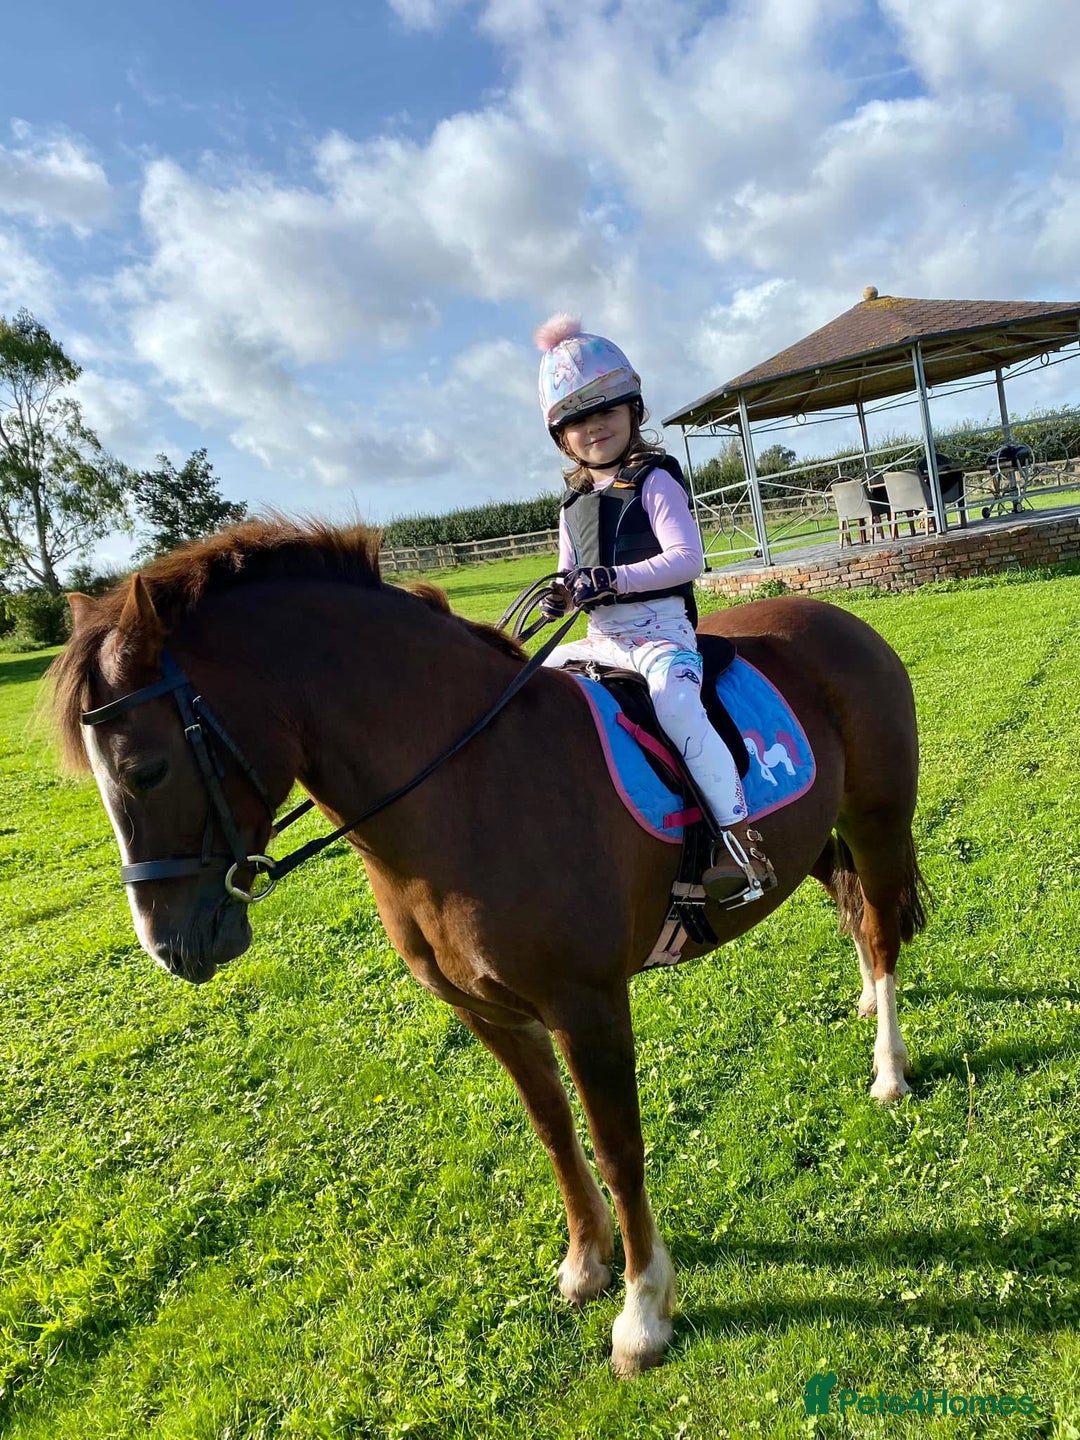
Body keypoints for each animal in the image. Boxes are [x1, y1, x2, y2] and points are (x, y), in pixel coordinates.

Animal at [50, 518, 927, 1378]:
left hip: (877, 820)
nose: (169, 946)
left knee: (882, 931)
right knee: (851, 908)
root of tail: (837, 617)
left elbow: (619, 1149)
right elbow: (553, 1132)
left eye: (145, 768)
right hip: (817, 837)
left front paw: (643, 1314)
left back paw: (888, 1069)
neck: (465, 785)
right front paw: (585, 1263)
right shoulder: (487, 1012)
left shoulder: (588, 1009)